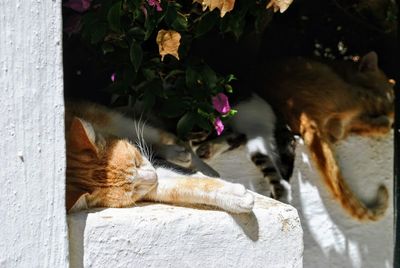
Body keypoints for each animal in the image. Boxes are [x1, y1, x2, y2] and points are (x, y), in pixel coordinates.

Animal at [65, 101, 253, 215]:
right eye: (133, 190)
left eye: (136, 161)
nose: (154, 177)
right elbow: (182, 187)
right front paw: (233, 196)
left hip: (119, 123)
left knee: (177, 141)